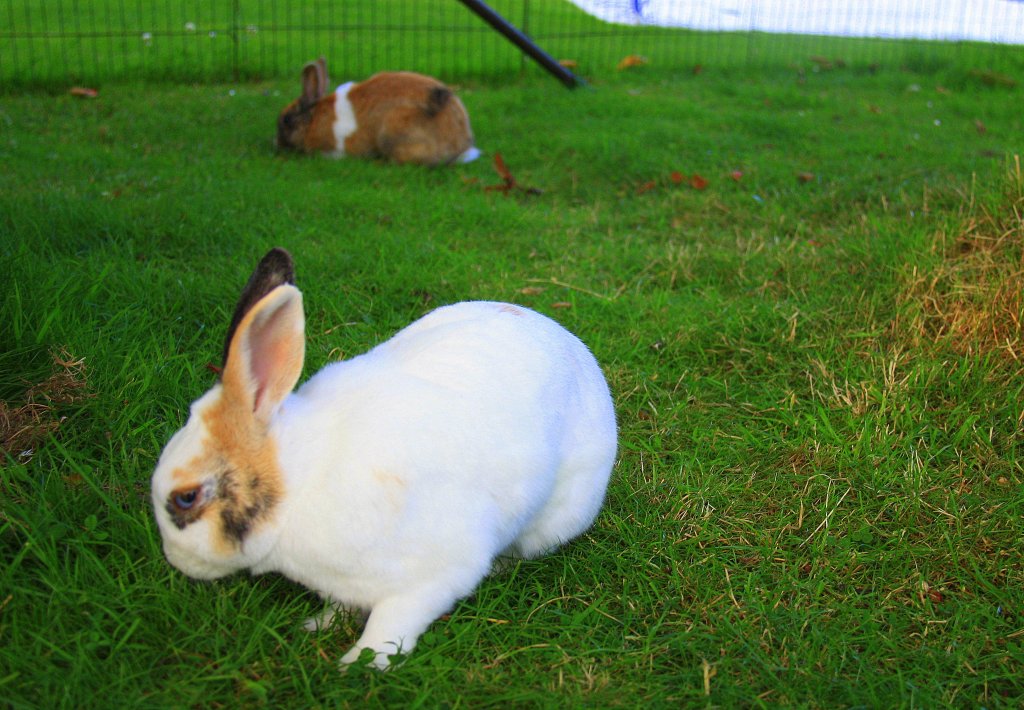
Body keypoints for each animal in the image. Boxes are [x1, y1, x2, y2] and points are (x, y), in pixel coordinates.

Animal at [149, 246, 614, 667]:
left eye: (186, 498)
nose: (173, 560)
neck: (299, 482)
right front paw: (318, 625)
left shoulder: (427, 579)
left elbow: (390, 625)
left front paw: (359, 664)